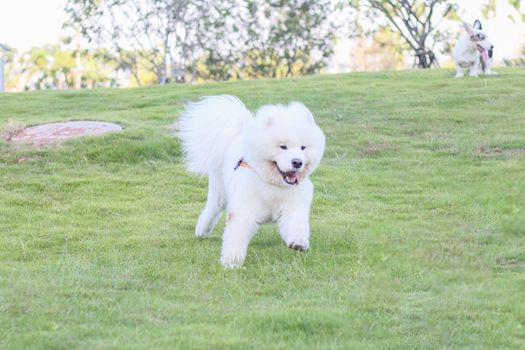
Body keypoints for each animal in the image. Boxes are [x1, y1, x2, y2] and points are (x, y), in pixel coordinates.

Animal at [176, 95, 324, 268]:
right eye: (283, 147)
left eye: (303, 148)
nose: (297, 162)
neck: (273, 185)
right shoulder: (244, 211)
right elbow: (236, 236)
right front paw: (231, 262)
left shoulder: (293, 207)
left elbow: (297, 225)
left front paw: (298, 243)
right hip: (220, 193)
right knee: (211, 211)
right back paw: (202, 230)